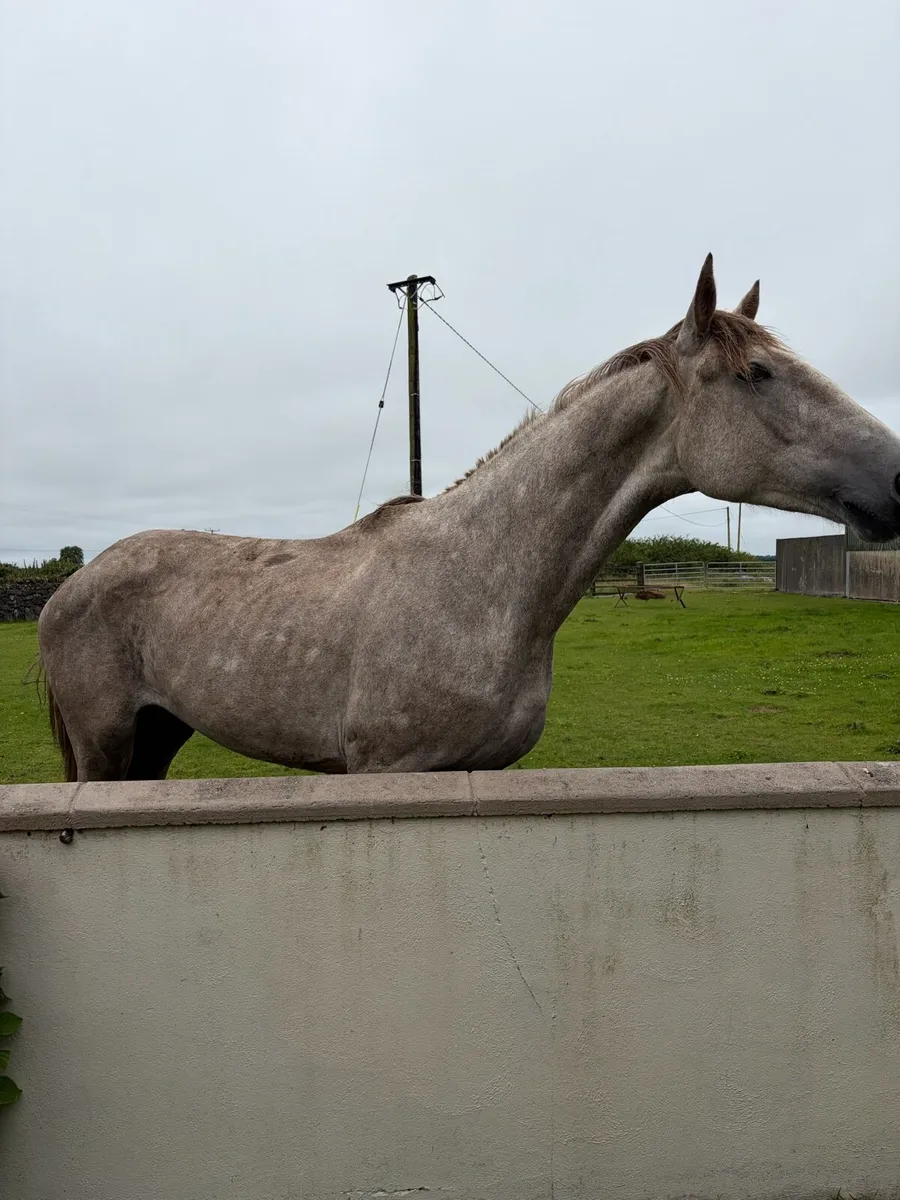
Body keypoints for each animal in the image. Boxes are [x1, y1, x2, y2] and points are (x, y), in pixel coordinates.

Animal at [37, 255, 900, 781]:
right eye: (757, 373)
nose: (895, 478)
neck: (483, 579)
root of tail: (69, 588)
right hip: (106, 745)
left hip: (159, 735)